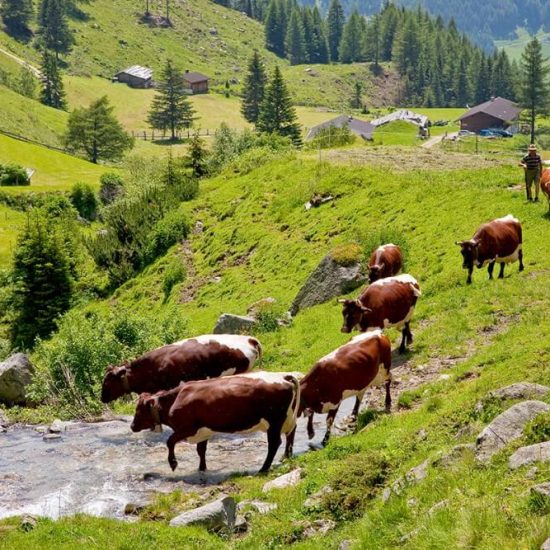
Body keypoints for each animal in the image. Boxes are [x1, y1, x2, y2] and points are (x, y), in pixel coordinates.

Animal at [130, 376, 302, 474]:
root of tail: (284, 378)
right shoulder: (203, 431)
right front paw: (202, 469)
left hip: (274, 421)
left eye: (138, 409)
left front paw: (173, 463)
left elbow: (170, 441)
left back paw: (263, 469)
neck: (175, 399)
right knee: (291, 431)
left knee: (274, 443)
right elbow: (201, 450)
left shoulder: (187, 429)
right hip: (286, 419)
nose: (132, 426)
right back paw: (286, 456)